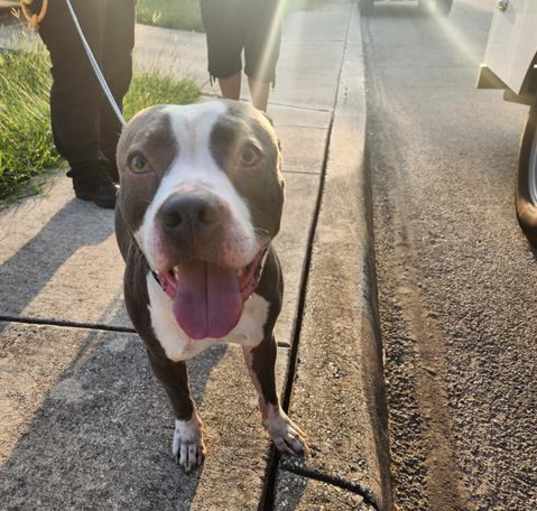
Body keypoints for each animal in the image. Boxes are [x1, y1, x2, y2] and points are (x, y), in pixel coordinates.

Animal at [114, 99, 306, 472]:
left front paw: (280, 428)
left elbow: (269, 392)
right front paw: (189, 437)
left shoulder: (263, 341)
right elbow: (181, 401)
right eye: (139, 162)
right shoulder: (161, 356)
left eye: (249, 154)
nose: (188, 210)